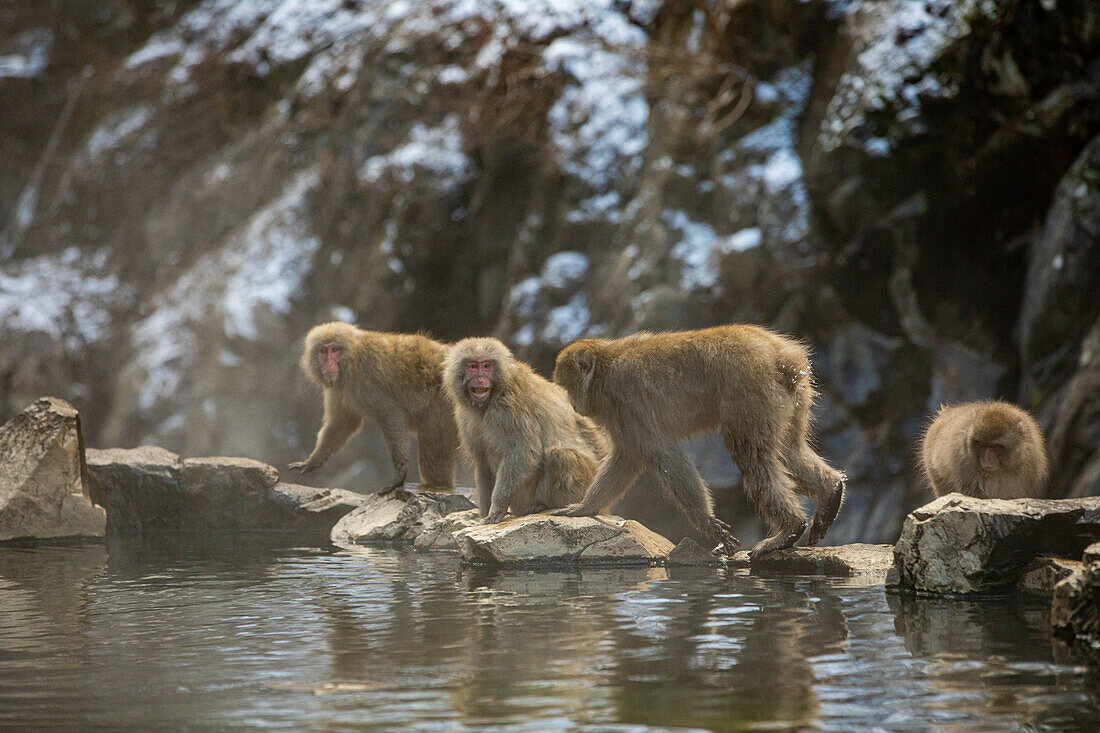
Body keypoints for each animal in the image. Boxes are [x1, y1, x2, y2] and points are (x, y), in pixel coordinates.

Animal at [290, 323, 457, 493]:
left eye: (335, 349)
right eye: (323, 351)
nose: (328, 364)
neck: (354, 358)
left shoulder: (366, 379)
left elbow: (391, 414)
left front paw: (400, 472)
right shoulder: (339, 387)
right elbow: (342, 422)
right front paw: (313, 460)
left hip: (442, 404)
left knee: (432, 441)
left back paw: (437, 485)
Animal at [442, 334, 607, 521]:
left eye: (486, 366)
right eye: (473, 366)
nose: (480, 379)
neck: (493, 395)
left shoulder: (507, 407)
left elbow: (523, 452)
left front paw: (497, 507)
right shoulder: (464, 417)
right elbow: (482, 463)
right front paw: (483, 513)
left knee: (560, 456)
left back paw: (547, 505)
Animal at [554, 323, 844, 556]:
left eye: (568, 388)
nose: (573, 404)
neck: (606, 366)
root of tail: (780, 355)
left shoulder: (624, 399)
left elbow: (663, 455)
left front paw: (707, 522)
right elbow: (627, 457)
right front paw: (586, 507)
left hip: (751, 392)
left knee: (752, 456)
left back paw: (789, 529)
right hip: (794, 396)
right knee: (789, 449)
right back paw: (831, 491)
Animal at [919, 396, 1047, 499]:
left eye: (993, 446)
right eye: (981, 445)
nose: (986, 459)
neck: (1000, 469)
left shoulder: (1029, 461)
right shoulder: (963, 461)